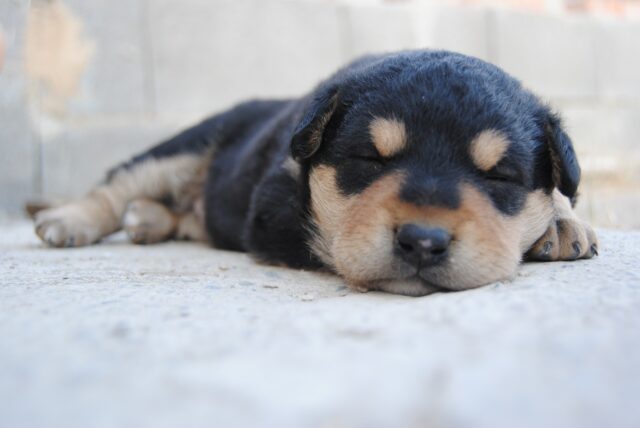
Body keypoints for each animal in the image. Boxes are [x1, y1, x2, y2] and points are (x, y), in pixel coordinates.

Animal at [32, 50, 596, 296]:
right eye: (370, 160)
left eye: (499, 176)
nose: (423, 242)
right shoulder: (276, 208)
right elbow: (333, 235)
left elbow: (562, 191)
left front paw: (562, 221)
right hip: (184, 146)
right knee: (118, 184)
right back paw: (68, 221)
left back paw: (146, 221)